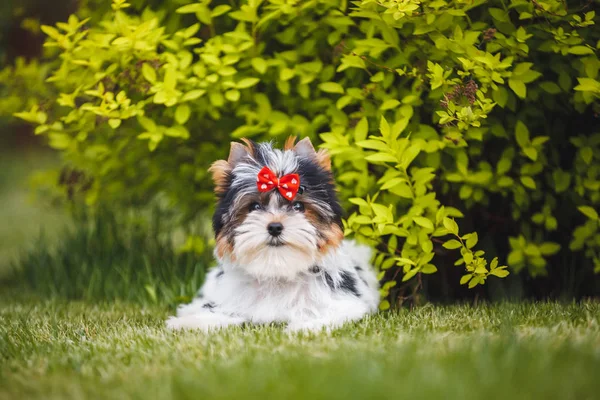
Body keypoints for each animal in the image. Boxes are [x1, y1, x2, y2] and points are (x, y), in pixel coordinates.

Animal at [166, 138, 378, 332]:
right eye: (254, 206)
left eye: (298, 206)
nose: (275, 227)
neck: (277, 270)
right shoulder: (230, 301)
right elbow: (216, 311)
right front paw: (189, 322)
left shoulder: (345, 303)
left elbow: (335, 314)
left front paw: (305, 326)